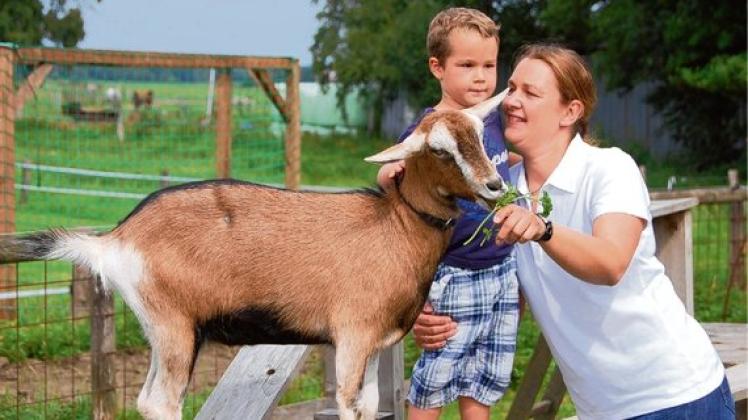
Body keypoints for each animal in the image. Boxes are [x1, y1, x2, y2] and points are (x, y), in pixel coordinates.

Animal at [6, 91, 508, 420]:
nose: (494, 187)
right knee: (162, 403)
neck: (394, 227)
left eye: (480, 135)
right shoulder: (352, 337)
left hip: (162, 332)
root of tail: (116, 238)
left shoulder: (377, 343)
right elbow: (347, 406)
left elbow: (368, 407)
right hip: (174, 328)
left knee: (146, 401)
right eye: (439, 150)